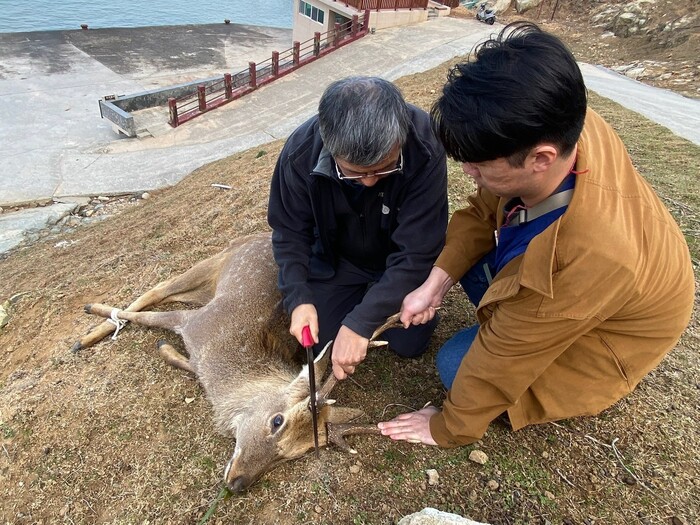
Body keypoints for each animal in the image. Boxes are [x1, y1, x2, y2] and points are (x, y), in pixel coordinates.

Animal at [72, 232, 402, 492]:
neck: (219, 361)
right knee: (157, 289)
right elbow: (145, 317)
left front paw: (164, 348)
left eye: (293, 454)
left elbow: (183, 359)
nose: (237, 483)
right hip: (214, 262)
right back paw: (87, 325)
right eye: (277, 421)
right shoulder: (197, 322)